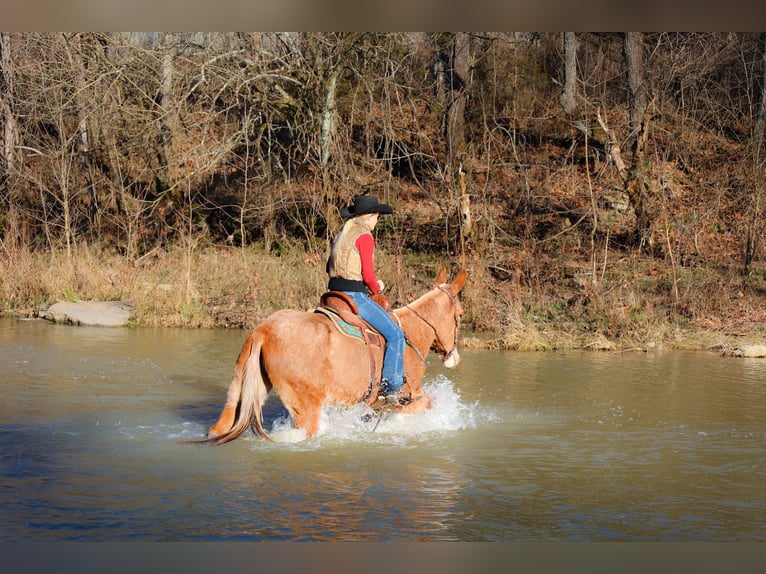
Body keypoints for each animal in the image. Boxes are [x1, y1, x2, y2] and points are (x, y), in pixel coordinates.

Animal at [200, 268, 468, 448]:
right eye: (461, 314)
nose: (453, 357)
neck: (411, 332)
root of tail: (262, 331)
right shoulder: (408, 397)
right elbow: (426, 404)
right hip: (306, 408)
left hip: (240, 390)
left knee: (220, 426)